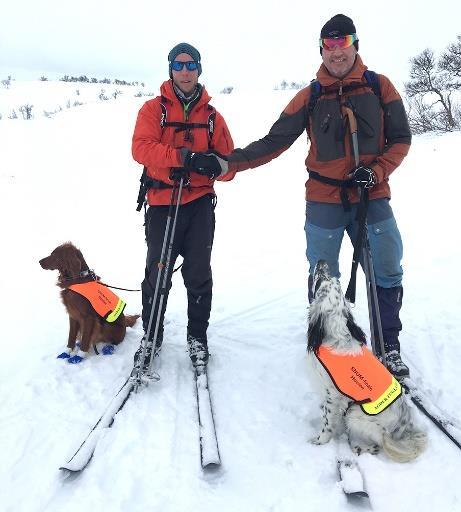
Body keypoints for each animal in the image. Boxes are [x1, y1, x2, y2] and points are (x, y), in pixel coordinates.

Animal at [308, 260, 426, 464]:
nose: (322, 262)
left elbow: (327, 423)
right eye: (330, 280)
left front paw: (319, 441)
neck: (337, 336)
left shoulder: (332, 393)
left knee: (376, 445)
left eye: (320, 281)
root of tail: (402, 431)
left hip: (356, 415)